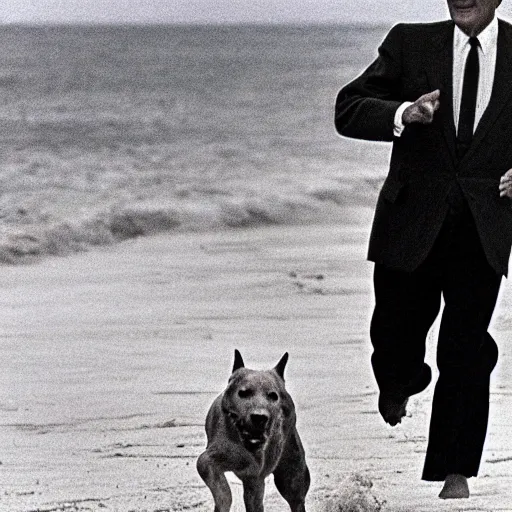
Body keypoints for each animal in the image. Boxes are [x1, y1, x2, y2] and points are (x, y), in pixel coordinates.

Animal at [195, 352, 308, 512]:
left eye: (273, 396)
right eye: (243, 393)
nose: (259, 417)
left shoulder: (255, 477)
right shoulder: (209, 460)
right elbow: (223, 491)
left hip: (291, 475)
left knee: (296, 500)